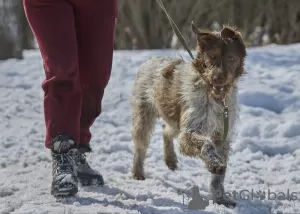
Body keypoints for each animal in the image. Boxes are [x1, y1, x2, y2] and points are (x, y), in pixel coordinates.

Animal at [131, 22, 246, 207]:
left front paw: (220, 198)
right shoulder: (190, 132)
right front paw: (214, 163)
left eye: (231, 58)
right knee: (140, 147)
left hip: (175, 121)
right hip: (144, 116)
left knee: (166, 131)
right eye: (212, 56)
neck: (215, 98)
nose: (217, 79)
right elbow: (206, 144)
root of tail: (152, 59)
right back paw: (137, 172)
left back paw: (170, 159)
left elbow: (218, 178)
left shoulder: (222, 138)